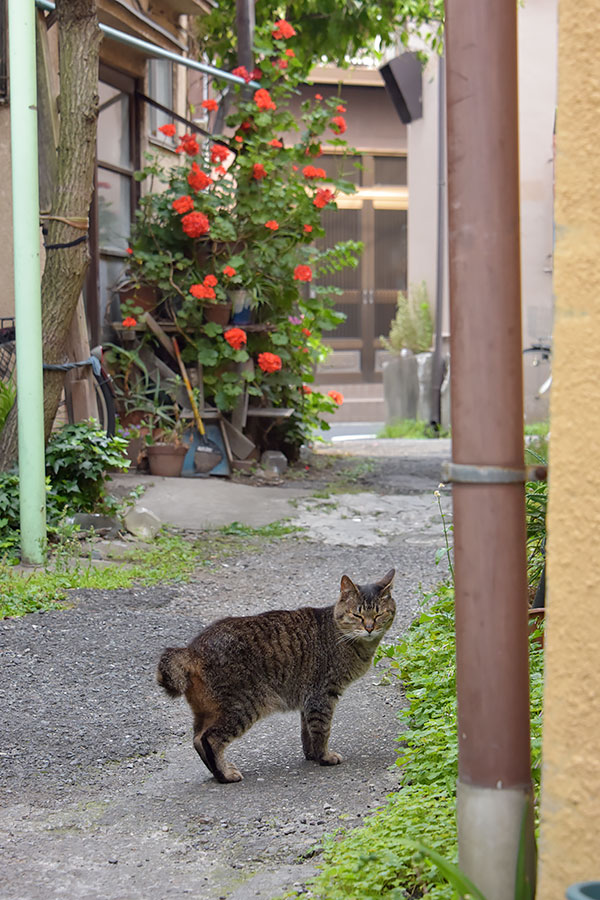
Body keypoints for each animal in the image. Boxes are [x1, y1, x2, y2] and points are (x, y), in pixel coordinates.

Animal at [157, 572, 396, 784]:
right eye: (357, 615)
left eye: (378, 615)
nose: (369, 628)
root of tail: (191, 650)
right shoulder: (322, 695)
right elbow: (322, 729)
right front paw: (324, 757)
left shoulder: (308, 699)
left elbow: (307, 731)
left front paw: (311, 755)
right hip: (244, 706)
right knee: (210, 739)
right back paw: (225, 775)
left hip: (207, 712)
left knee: (197, 739)